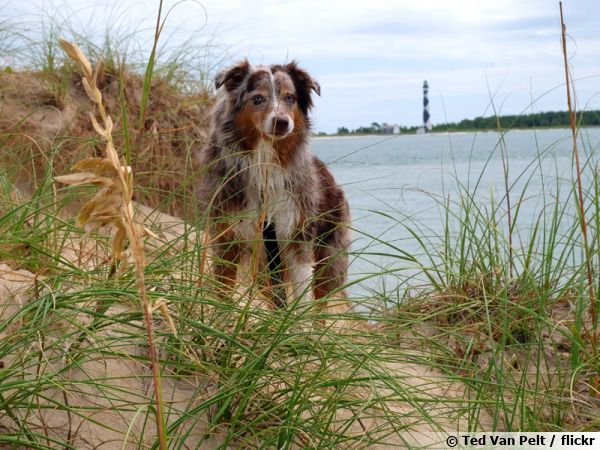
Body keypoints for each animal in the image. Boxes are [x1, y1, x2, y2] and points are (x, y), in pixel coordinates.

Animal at [197, 60, 350, 310]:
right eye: (258, 98)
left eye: (290, 98)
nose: (282, 122)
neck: (264, 162)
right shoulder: (226, 235)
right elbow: (222, 290)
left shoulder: (297, 234)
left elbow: (302, 295)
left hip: (329, 256)